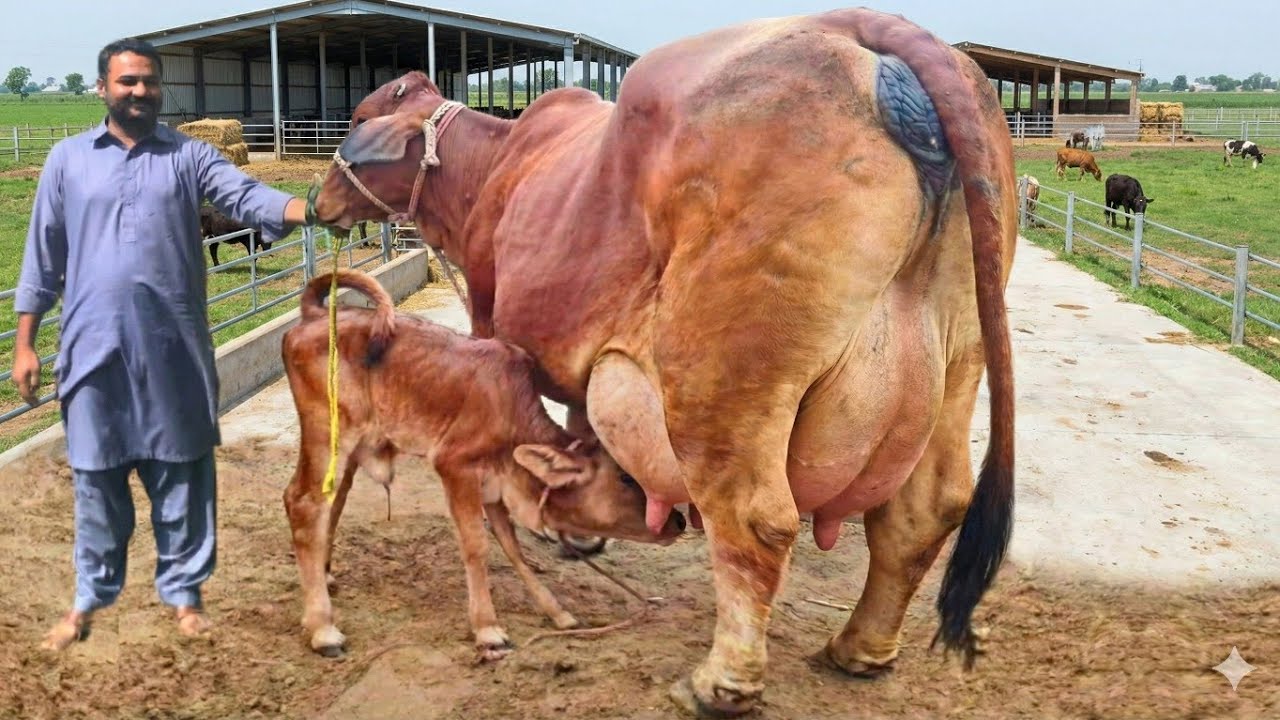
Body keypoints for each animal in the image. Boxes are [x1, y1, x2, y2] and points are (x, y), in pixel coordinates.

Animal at [281, 270, 684, 660]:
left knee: (333, 503)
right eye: (625, 478)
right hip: (326, 434)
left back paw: (324, 578)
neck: (510, 412)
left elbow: (513, 547)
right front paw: (488, 629)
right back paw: (323, 628)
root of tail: (314, 316)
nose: (678, 521)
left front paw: (557, 612)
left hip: (347, 452)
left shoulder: (495, 486)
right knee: (303, 502)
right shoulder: (455, 467)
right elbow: (476, 546)